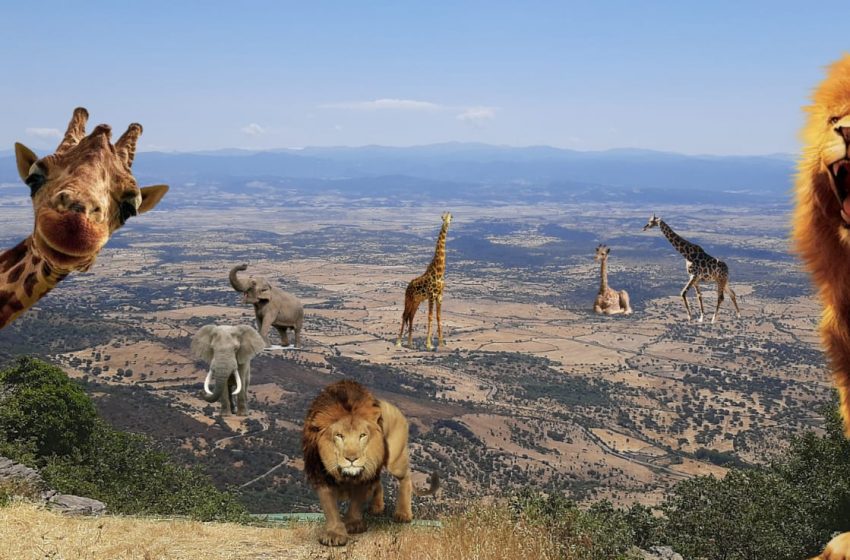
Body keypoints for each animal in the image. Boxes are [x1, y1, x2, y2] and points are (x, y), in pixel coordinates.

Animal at [300, 378, 438, 544]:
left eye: (362, 435)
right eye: (339, 435)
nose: (352, 459)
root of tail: (390, 405)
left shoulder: (364, 474)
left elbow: (356, 502)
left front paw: (353, 524)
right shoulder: (320, 474)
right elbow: (330, 507)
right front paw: (335, 534)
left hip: (395, 461)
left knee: (406, 477)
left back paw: (403, 514)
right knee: (378, 482)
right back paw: (377, 508)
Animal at [396, 211, 450, 348]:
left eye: (451, 217)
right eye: (443, 218)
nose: (447, 223)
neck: (439, 271)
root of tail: (408, 286)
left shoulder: (440, 295)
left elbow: (439, 316)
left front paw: (441, 343)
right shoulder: (431, 295)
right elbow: (430, 316)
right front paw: (429, 344)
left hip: (417, 301)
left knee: (411, 316)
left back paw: (410, 344)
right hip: (409, 299)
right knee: (404, 315)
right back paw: (398, 342)